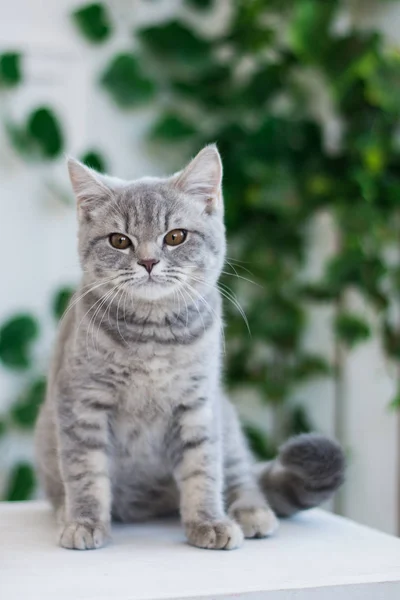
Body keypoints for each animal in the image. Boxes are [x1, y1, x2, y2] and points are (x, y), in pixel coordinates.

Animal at [36, 144, 346, 548]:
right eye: (119, 240)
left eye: (175, 237)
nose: (148, 261)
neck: (153, 336)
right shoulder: (81, 401)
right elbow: (85, 469)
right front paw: (84, 521)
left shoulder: (198, 403)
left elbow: (203, 469)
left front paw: (209, 522)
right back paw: (64, 510)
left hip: (226, 421)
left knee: (241, 475)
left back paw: (252, 511)